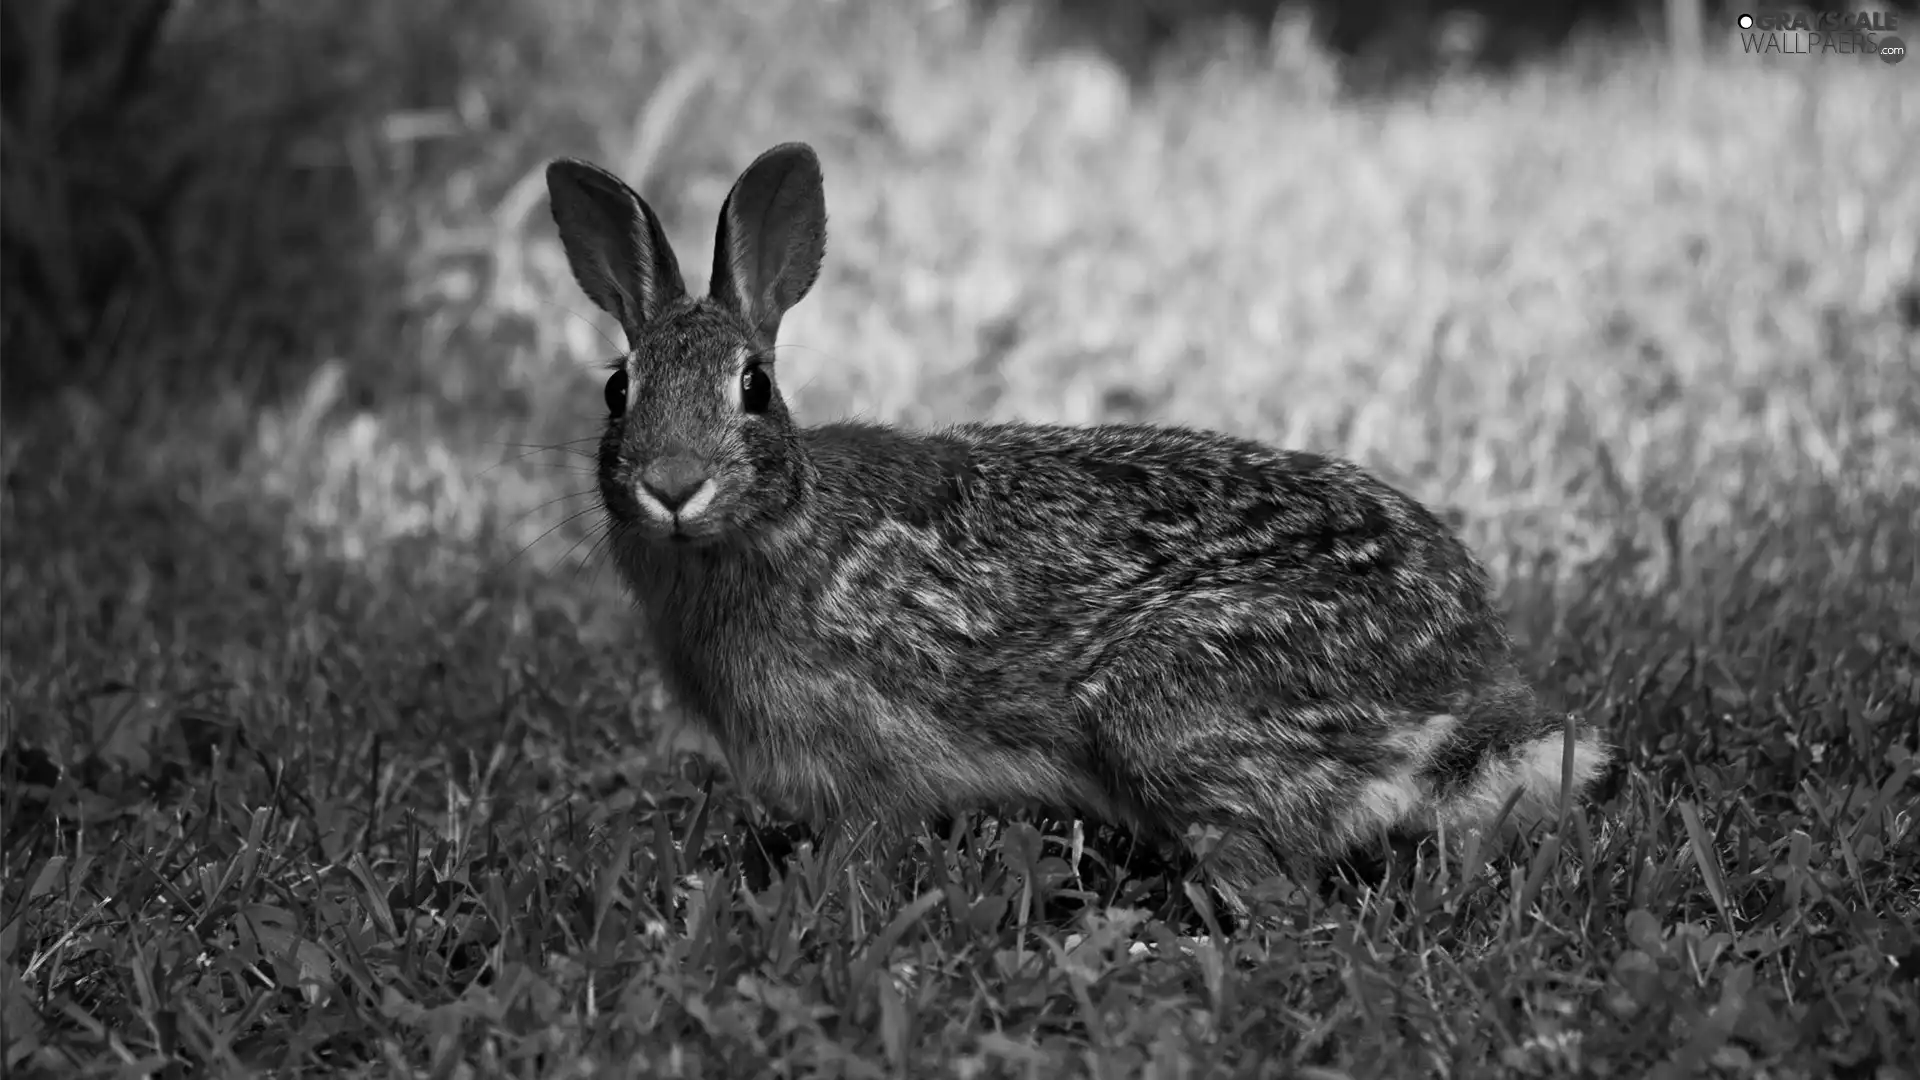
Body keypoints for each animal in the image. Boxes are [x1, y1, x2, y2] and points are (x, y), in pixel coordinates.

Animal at [541, 138, 1605, 903]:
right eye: (617, 390)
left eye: (754, 388)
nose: (673, 485)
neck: (785, 521)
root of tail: (1459, 682)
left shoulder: (869, 762)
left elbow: (866, 845)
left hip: (1167, 715)